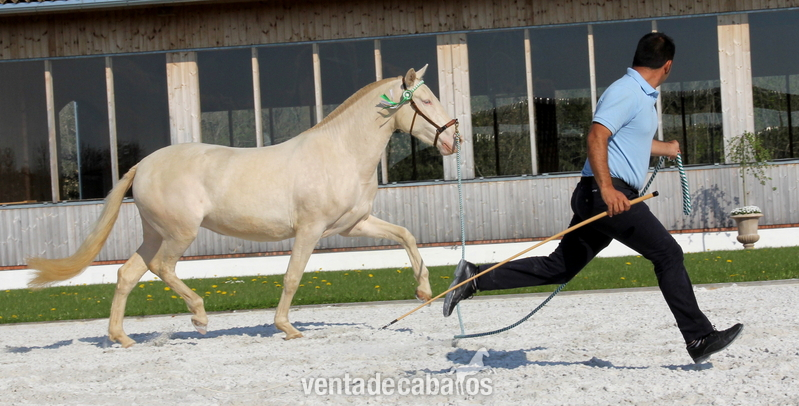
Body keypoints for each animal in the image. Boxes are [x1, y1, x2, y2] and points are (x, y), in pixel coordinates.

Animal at [26, 65, 458, 348]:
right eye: (424, 99)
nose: (452, 140)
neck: (341, 153)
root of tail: (143, 166)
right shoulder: (311, 229)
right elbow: (292, 277)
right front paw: (287, 328)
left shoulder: (354, 224)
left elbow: (405, 235)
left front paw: (423, 290)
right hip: (179, 233)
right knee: (162, 267)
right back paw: (199, 317)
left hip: (155, 233)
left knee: (128, 274)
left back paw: (123, 338)